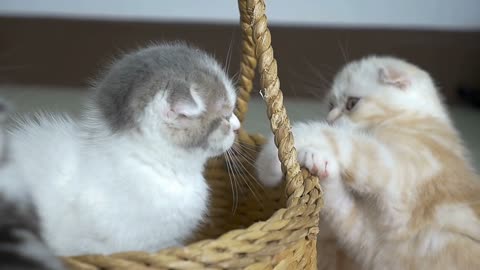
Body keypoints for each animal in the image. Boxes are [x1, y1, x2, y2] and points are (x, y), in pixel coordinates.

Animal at [256, 56, 480, 268]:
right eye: (331, 105)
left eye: (351, 103)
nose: (330, 117)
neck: (409, 118)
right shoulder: (368, 239)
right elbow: (340, 205)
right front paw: (319, 165)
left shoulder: (396, 172)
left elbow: (339, 139)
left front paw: (268, 162)